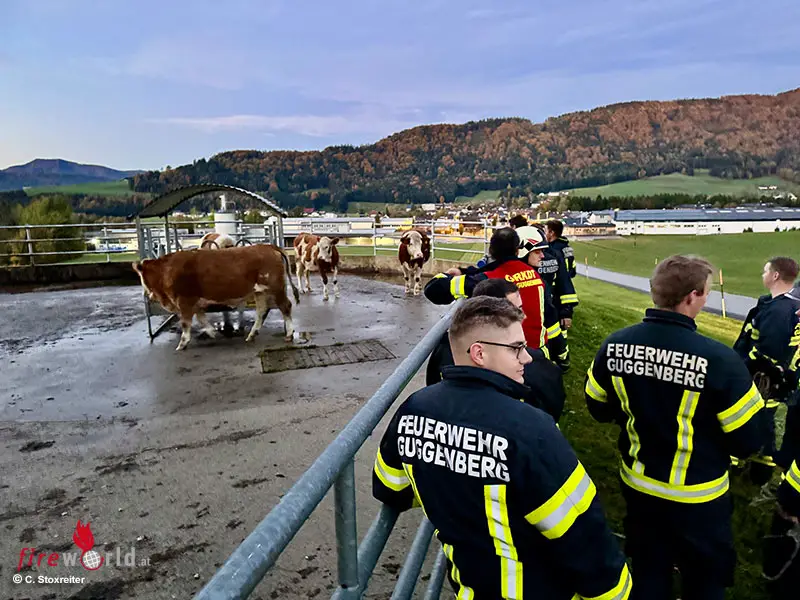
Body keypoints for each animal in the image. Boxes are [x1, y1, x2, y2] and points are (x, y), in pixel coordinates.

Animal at [132, 244, 300, 351]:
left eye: (140, 276)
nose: (147, 294)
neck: (166, 270)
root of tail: (268, 246)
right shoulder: (195, 302)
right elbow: (201, 318)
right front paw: (211, 332)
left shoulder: (185, 300)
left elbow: (186, 323)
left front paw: (182, 344)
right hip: (259, 292)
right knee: (261, 311)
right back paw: (251, 335)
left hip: (276, 288)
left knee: (285, 307)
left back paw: (289, 334)